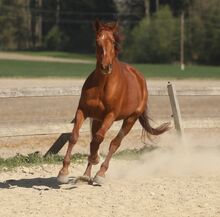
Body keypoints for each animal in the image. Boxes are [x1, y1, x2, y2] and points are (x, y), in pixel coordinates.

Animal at [57, 19, 170, 185]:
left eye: (113, 42)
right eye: (97, 41)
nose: (105, 67)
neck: (102, 85)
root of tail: (140, 79)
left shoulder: (110, 115)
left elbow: (99, 139)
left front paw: (95, 162)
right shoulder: (83, 111)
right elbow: (75, 137)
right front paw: (63, 172)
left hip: (130, 119)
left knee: (114, 143)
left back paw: (100, 174)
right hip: (98, 119)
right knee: (95, 140)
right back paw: (87, 174)